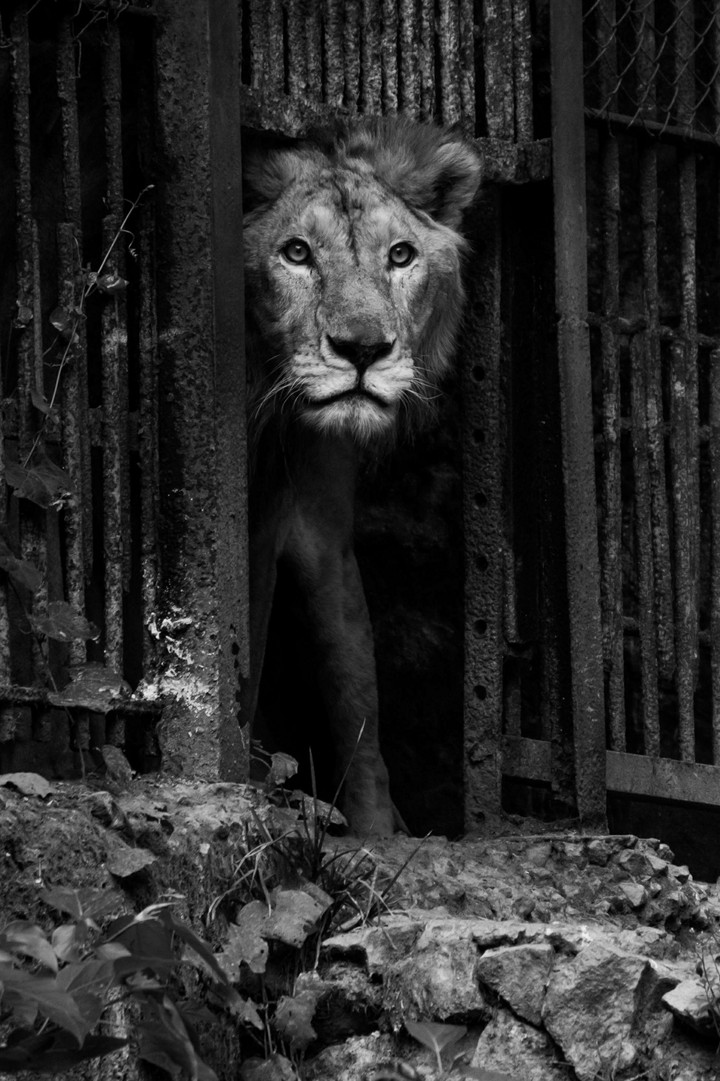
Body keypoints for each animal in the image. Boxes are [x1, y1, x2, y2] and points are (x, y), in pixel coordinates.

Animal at [242, 116, 482, 835]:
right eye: (296, 252)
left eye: (400, 256)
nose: (364, 350)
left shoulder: (319, 528)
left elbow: (356, 690)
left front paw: (377, 831)